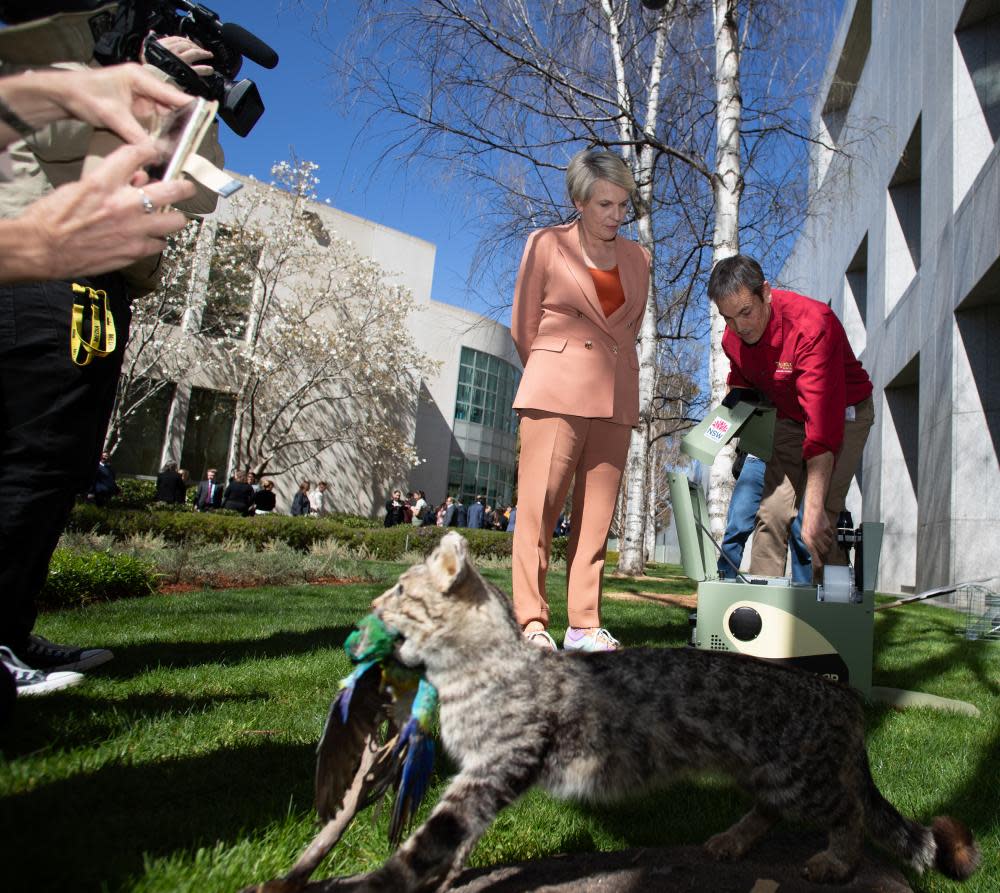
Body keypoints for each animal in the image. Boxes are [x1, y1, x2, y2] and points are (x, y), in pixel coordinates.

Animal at [360, 532, 976, 892]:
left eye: (399, 590)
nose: (371, 602)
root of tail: (841, 696)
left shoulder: (495, 767)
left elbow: (437, 834)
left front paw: (396, 875)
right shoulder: (477, 774)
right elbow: (459, 834)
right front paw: (446, 873)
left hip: (799, 777)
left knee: (848, 813)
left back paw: (835, 863)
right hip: (763, 772)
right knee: (772, 811)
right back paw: (732, 840)